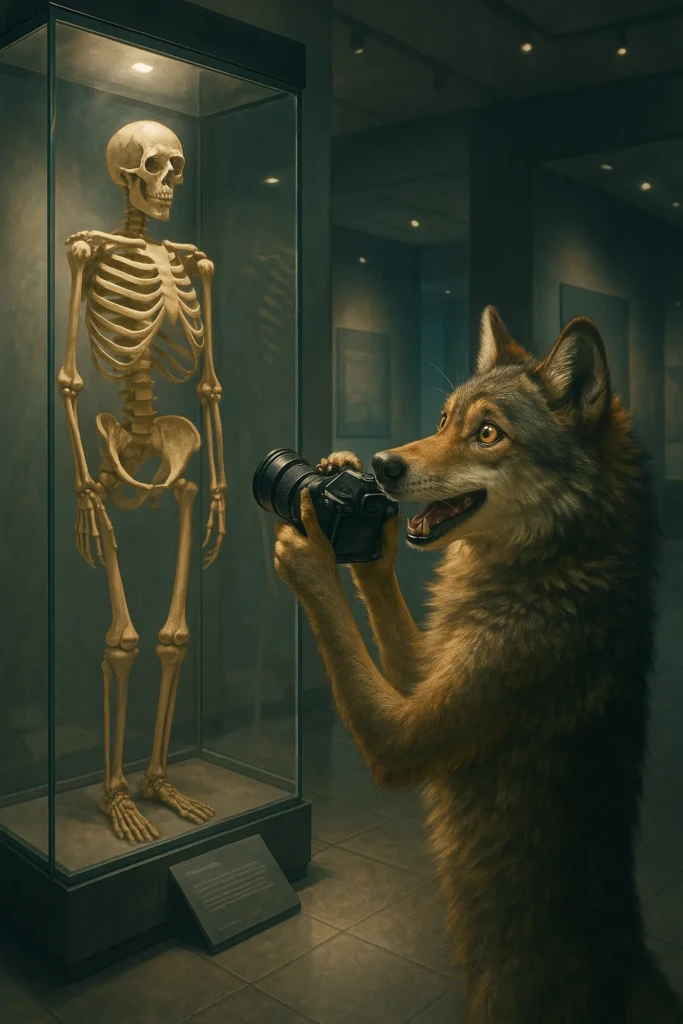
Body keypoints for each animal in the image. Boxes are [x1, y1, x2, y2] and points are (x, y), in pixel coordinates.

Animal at [272, 307, 683, 1022]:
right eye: (442, 421)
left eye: (487, 433)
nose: (380, 465)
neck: (552, 569)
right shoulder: (426, 679)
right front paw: (358, 515)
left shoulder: (406, 740)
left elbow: (338, 625)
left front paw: (312, 543)